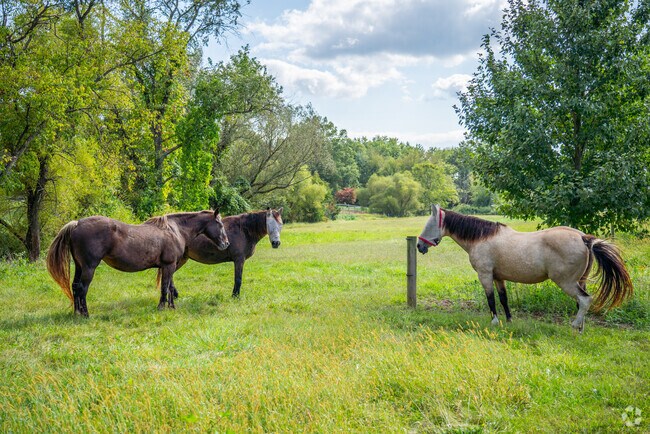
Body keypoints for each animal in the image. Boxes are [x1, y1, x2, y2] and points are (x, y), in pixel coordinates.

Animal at [46, 210, 229, 316]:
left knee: (75, 287)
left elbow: (170, 287)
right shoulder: (168, 265)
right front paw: (161, 307)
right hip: (89, 268)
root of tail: (77, 223)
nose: (226, 243)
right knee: (82, 289)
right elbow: (165, 287)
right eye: (219, 224)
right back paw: (85, 314)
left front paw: (172, 307)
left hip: (79, 267)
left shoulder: (169, 266)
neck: (175, 230)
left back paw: (77, 313)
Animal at [417, 205, 633, 331]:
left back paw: (574, 325)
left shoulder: (485, 276)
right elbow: (503, 299)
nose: (419, 246)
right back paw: (580, 328)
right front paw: (509, 321)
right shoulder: (499, 277)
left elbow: (491, 300)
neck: (481, 238)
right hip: (581, 281)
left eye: (428, 225)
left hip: (567, 283)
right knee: (581, 303)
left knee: (585, 300)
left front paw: (494, 322)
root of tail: (583, 237)